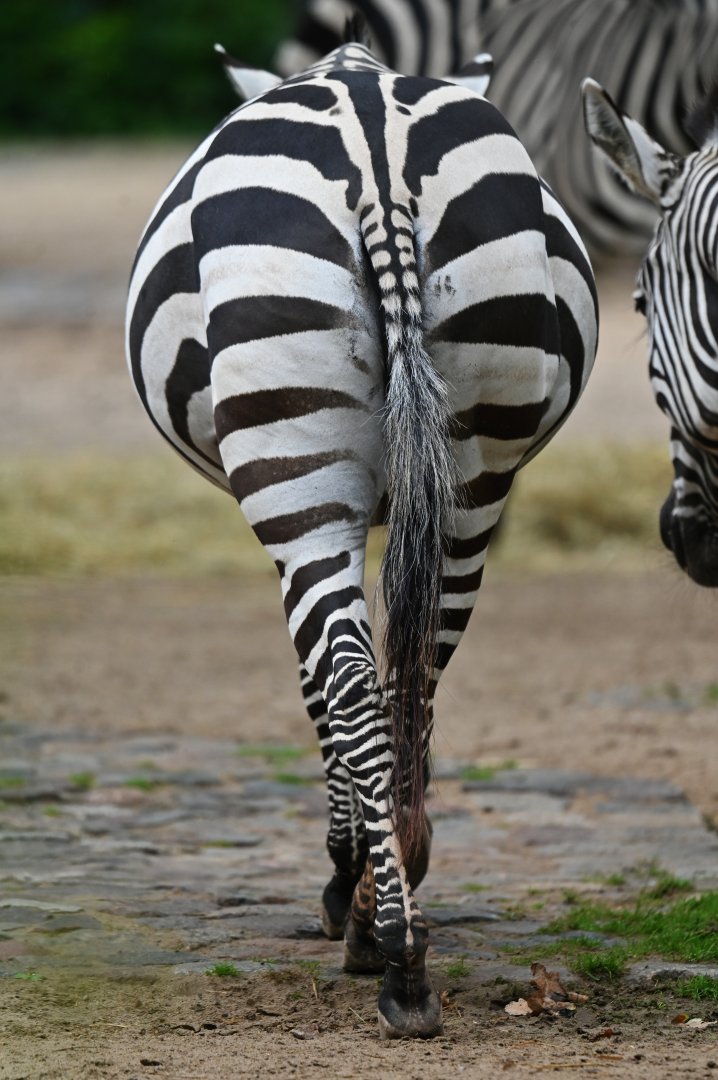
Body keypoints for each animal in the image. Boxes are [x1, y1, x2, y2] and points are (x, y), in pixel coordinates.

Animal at [126, 40, 598, 1037]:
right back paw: (401, 905)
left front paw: (344, 878)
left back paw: (391, 954)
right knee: (417, 670)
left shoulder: (300, 523)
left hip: (295, 475)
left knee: (346, 677)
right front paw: (380, 877)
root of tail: (373, 124)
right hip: (475, 473)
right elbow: (390, 678)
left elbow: (318, 688)